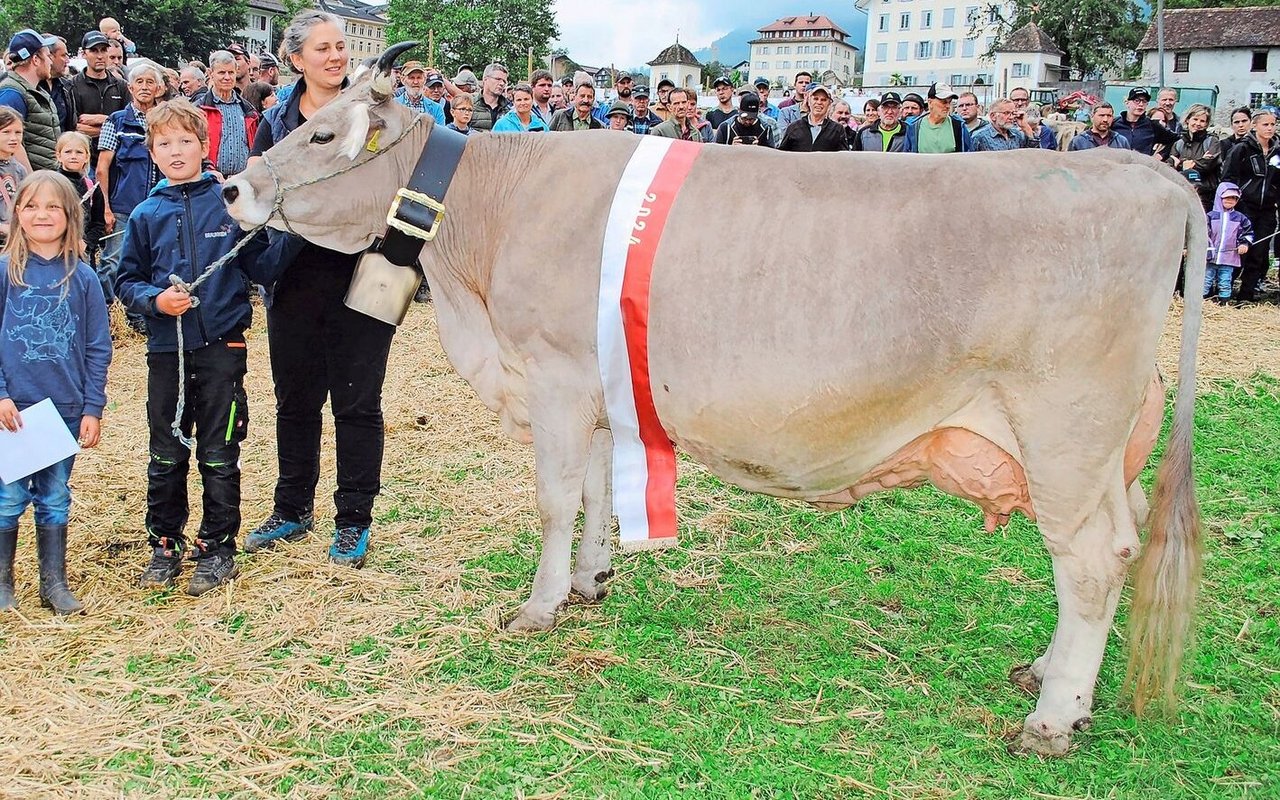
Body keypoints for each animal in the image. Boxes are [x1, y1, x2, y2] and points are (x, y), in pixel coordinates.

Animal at [222, 54, 1208, 752]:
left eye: (321, 136)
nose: (234, 187)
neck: (484, 223)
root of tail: (1144, 171)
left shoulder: (554, 374)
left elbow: (552, 501)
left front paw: (537, 607)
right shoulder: (593, 386)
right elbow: (594, 492)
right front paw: (591, 581)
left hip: (1065, 433)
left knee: (1091, 561)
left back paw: (1053, 717)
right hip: (1106, 448)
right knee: (1112, 555)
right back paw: (1047, 676)